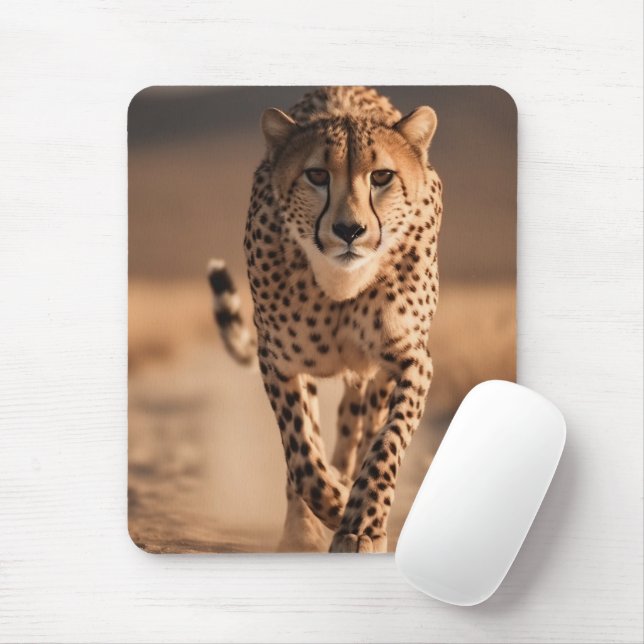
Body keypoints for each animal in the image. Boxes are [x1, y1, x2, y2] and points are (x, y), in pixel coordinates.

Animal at [208, 86, 443, 553]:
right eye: (317, 175)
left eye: (381, 177)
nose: (349, 230)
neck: (341, 286)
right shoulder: (279, 362)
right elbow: (302, 454)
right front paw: (332, 505)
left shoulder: (412, 361)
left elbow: (387, 442)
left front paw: (363, 523)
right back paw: (304, 525)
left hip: (372, 376)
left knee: (360, 424)